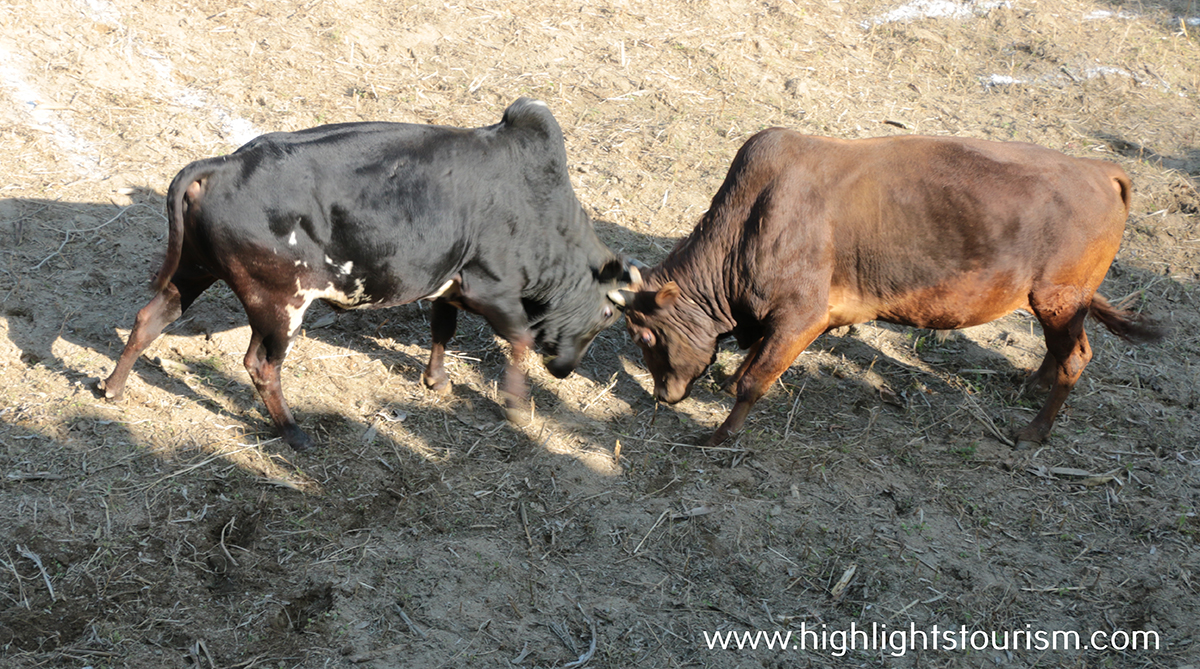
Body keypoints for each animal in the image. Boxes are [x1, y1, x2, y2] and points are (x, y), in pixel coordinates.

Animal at [614, 128, 1156, 448]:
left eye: (643, 335)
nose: (663, 394)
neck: (751, 218)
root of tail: (1098, 169)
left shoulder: (801, 316)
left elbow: (754, 379)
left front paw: (719, 434)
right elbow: (749, 367)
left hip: (1059, 298)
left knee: (1075, 356)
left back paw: (1033, 431)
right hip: (1057, 302)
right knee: (1059, 350)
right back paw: (1031, 383)